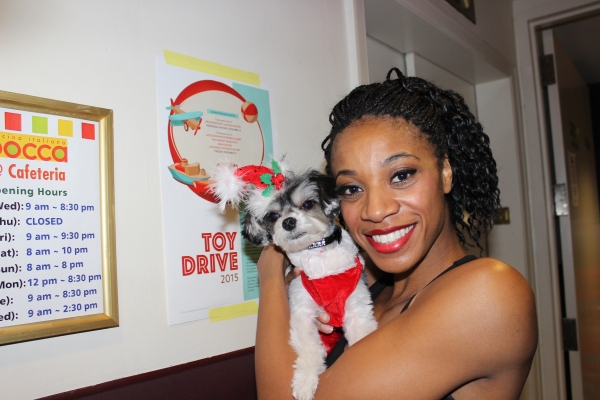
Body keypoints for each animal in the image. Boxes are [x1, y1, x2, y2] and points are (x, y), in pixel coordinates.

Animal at [211, 159, 378, 400]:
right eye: (273, 216)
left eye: (307, 204)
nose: (288, 222)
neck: (320, 258)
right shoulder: (303, 314)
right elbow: (310, 349)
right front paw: (305, 382)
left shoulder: (357, 306)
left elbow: (360, 335)